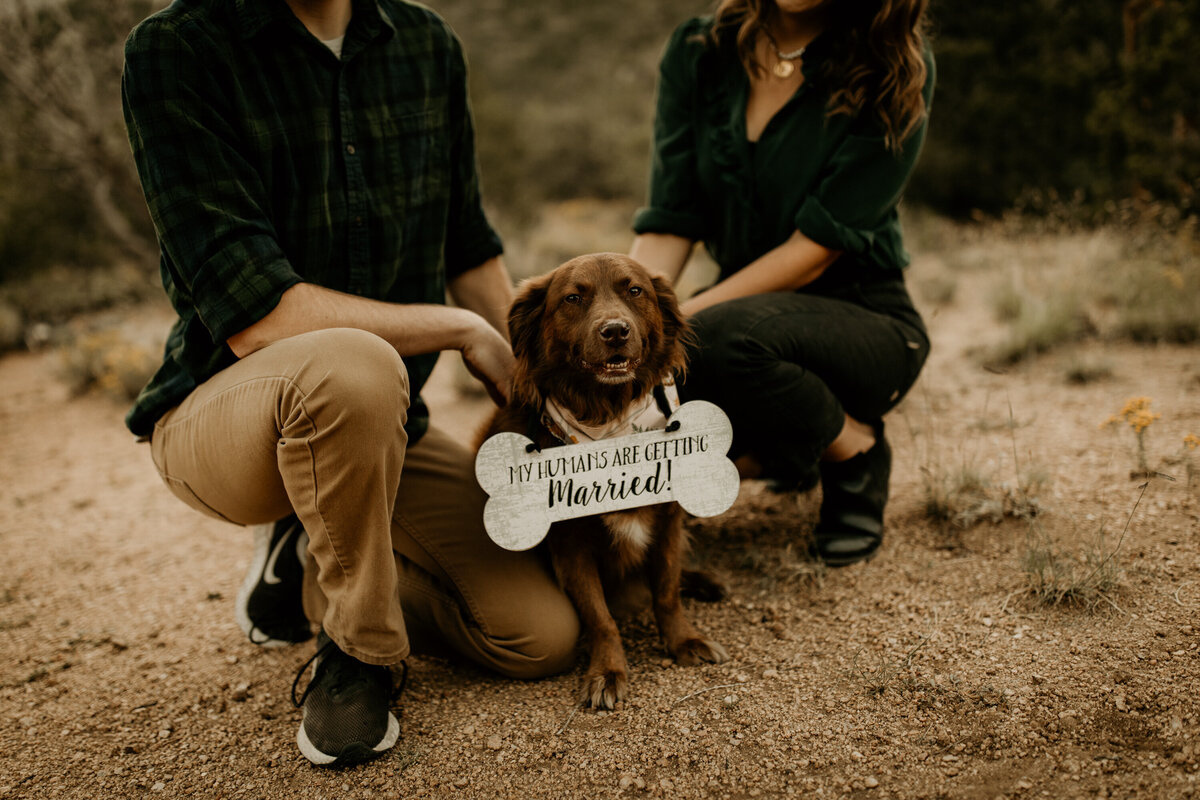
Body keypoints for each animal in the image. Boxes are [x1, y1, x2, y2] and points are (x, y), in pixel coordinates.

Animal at [482, 253, 724, 710]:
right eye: (573, 298)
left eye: (635, 291)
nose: (615, 331)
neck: (610, 427)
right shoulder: (570, 545)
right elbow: (600, 617)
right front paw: (608, 672)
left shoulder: (668, 521)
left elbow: (666, 590)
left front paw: (684, 641)